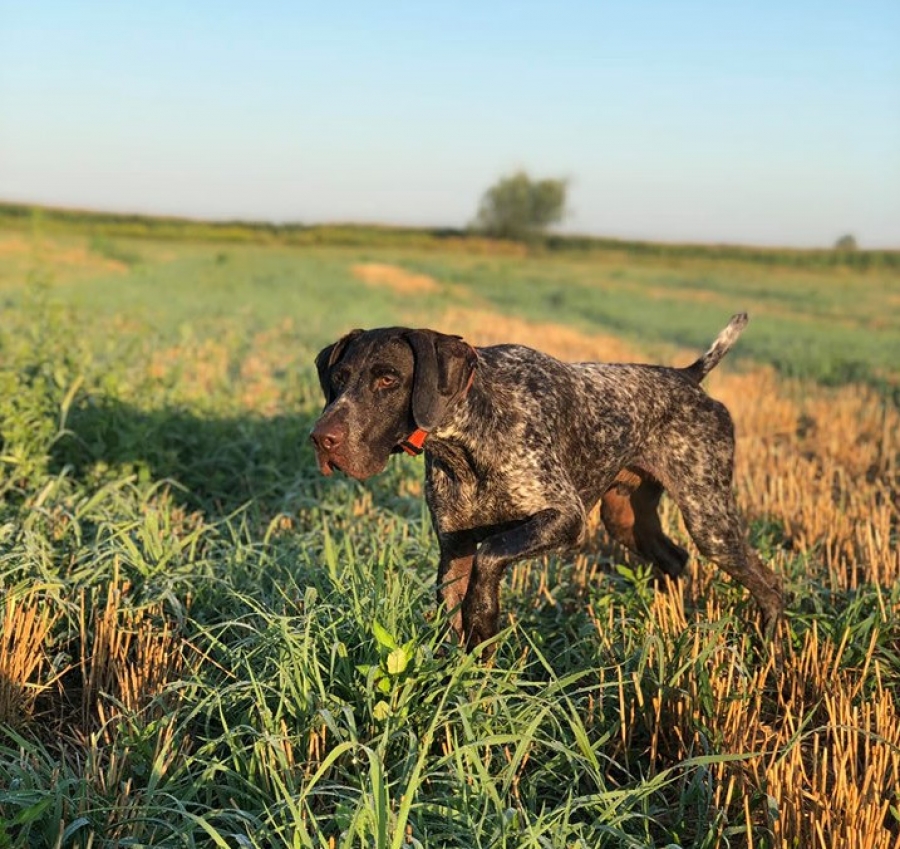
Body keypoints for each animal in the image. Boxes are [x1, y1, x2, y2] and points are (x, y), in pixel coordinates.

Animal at [312, 314, 784, 652]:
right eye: (339, 379)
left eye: (388, 379)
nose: (320, 439)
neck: (465, 437)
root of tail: (687, 376)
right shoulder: (453, 549)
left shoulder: (564, 518)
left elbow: (491, 556)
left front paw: (482, 613)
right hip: (626, 520)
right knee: (676, 559)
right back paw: (672, 623)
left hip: (710, 522)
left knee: (770, 584)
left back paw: (772, 650)